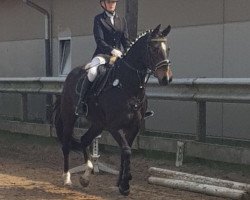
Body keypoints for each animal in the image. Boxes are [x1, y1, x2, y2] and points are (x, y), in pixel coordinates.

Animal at [54, 23, 172, 195]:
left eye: (167, 48)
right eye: (154, 49)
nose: (166, 78)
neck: (128, 87)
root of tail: (71, 74)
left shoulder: (133, 127)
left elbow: (125, 151)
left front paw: (121, 183)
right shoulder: (114, 127)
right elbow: (127, 151)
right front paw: (125, 185)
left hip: (98, 123)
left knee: (84, 140)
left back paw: (86, 176)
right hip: (69, 116)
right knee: (66, 145)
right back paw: (67, 178)